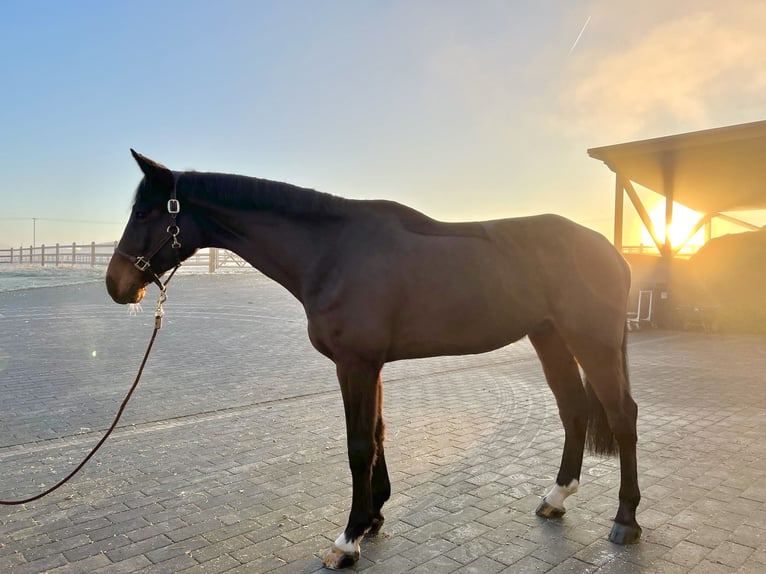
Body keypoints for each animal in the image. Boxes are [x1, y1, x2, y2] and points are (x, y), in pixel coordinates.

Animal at [106, 151, 640, 568]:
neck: (332, 252)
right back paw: (556, 498)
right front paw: (374, 517)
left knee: (621, 416)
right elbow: (379, 433)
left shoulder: (355, 363)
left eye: (145, 213)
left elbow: (358, 445)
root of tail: (610, 250)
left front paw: (348, 540)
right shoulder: (371, 365)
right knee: (574, 409)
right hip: (549, 337)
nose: (116, 285)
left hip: (591, 341)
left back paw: (626, 520)